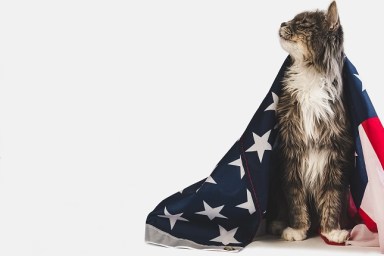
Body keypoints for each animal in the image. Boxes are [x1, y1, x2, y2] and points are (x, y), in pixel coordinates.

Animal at [268, 1, 354, 243]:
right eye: (291, 20)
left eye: (303, 23)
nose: (282, 23)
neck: (310, 74)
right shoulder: (290, 153)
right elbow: (295, 198)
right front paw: (297, 229)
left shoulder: (337, 156)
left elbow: (332, 198)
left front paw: (331, 231)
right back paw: (278, 224)